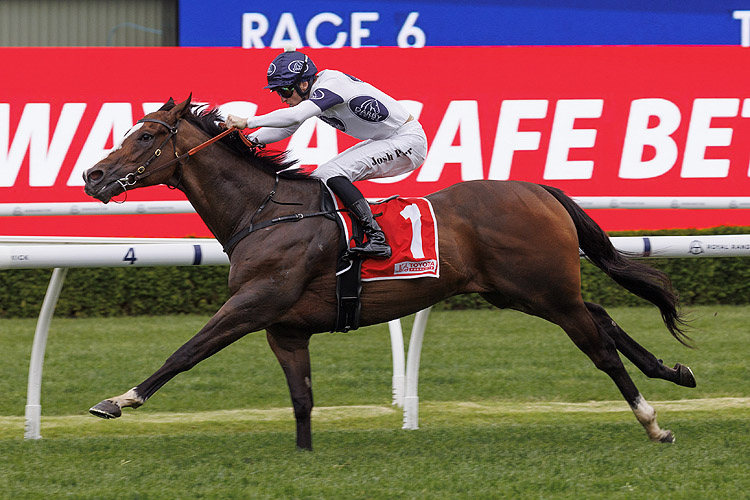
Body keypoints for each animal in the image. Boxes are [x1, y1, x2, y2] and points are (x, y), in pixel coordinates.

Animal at [83, 96, 700, 450]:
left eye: (145, 136)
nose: (92, 176)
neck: (264, 210)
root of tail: (536, 188)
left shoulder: (254, 303)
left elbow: (186, 352)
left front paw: (118, 400)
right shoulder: (286, 328)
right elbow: (302, 401)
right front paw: (304, 459)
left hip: (546, 291)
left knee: (600, 347)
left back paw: (653, 421)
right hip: (522, 291)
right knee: (602, 316)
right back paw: (674, 372)